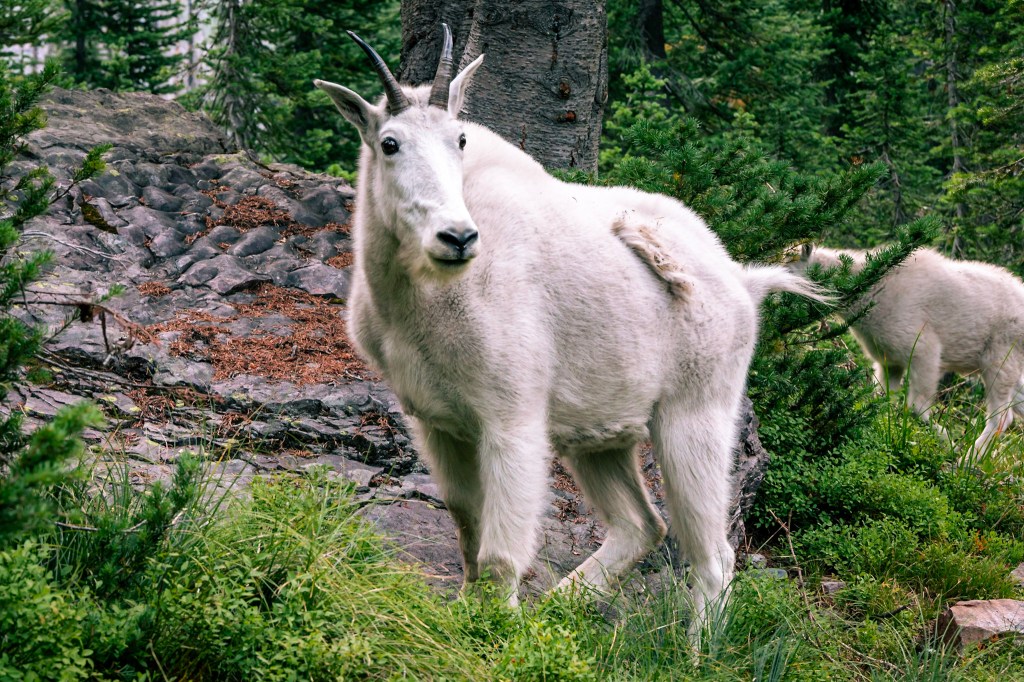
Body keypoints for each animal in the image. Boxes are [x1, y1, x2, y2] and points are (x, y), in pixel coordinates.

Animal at [314, 26, 827, 631]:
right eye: (389, 143)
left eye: (459, 140)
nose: (458, 237)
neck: (424, 297)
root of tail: (743, 282)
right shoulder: (437, 423)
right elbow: (467, 530)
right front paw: (470, 618)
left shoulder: (512, 417)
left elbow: (499, 554)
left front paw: (497, 631)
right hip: (600, 433)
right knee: (642, 525)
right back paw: (561, 609)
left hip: (695, 415)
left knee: (713, 556)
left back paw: (694, 646)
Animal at [793, 245, 1024, 454]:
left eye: (790, 266)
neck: (870, 293)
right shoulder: (889, 362)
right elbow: (880, 398)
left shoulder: (924, 350)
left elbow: (916, 407)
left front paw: (948, 442)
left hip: (1000, 358)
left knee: (1002, 416)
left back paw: (967, 460)